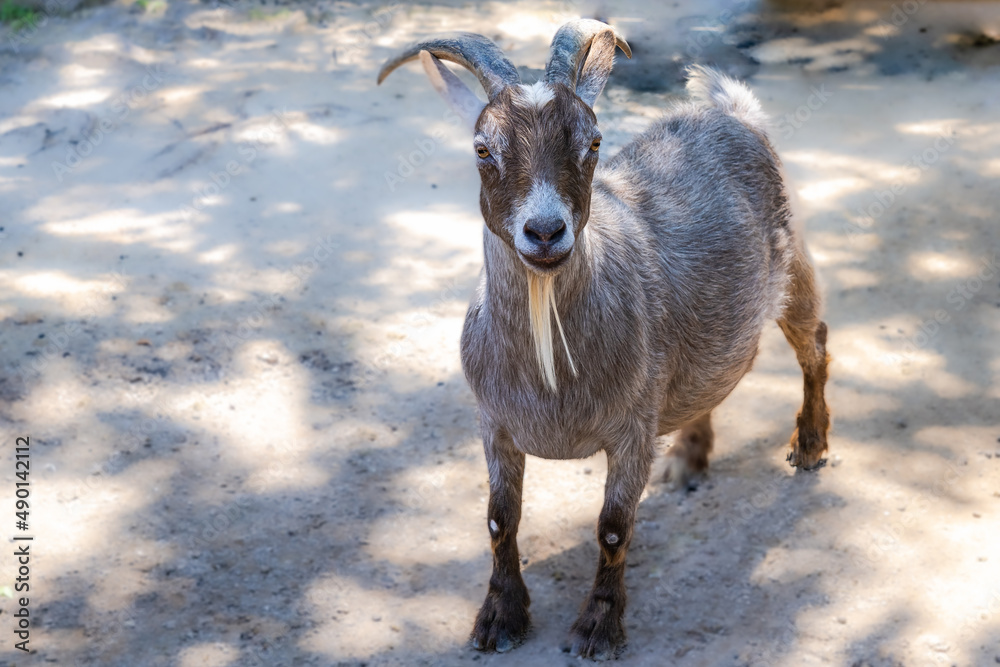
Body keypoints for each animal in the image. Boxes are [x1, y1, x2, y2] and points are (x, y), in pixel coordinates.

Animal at [378, 19, 831, 660]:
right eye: (482, 148)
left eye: (592, 142)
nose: (545, 231)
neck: (549, 375)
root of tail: (730, 109)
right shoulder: (493, 423)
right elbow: (499, 518)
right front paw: (499, 618)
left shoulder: (632, 429)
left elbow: (614, 527)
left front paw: (597, 627)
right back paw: (689, 460)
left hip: (793, 271)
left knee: (814, 345)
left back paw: (810, 444)